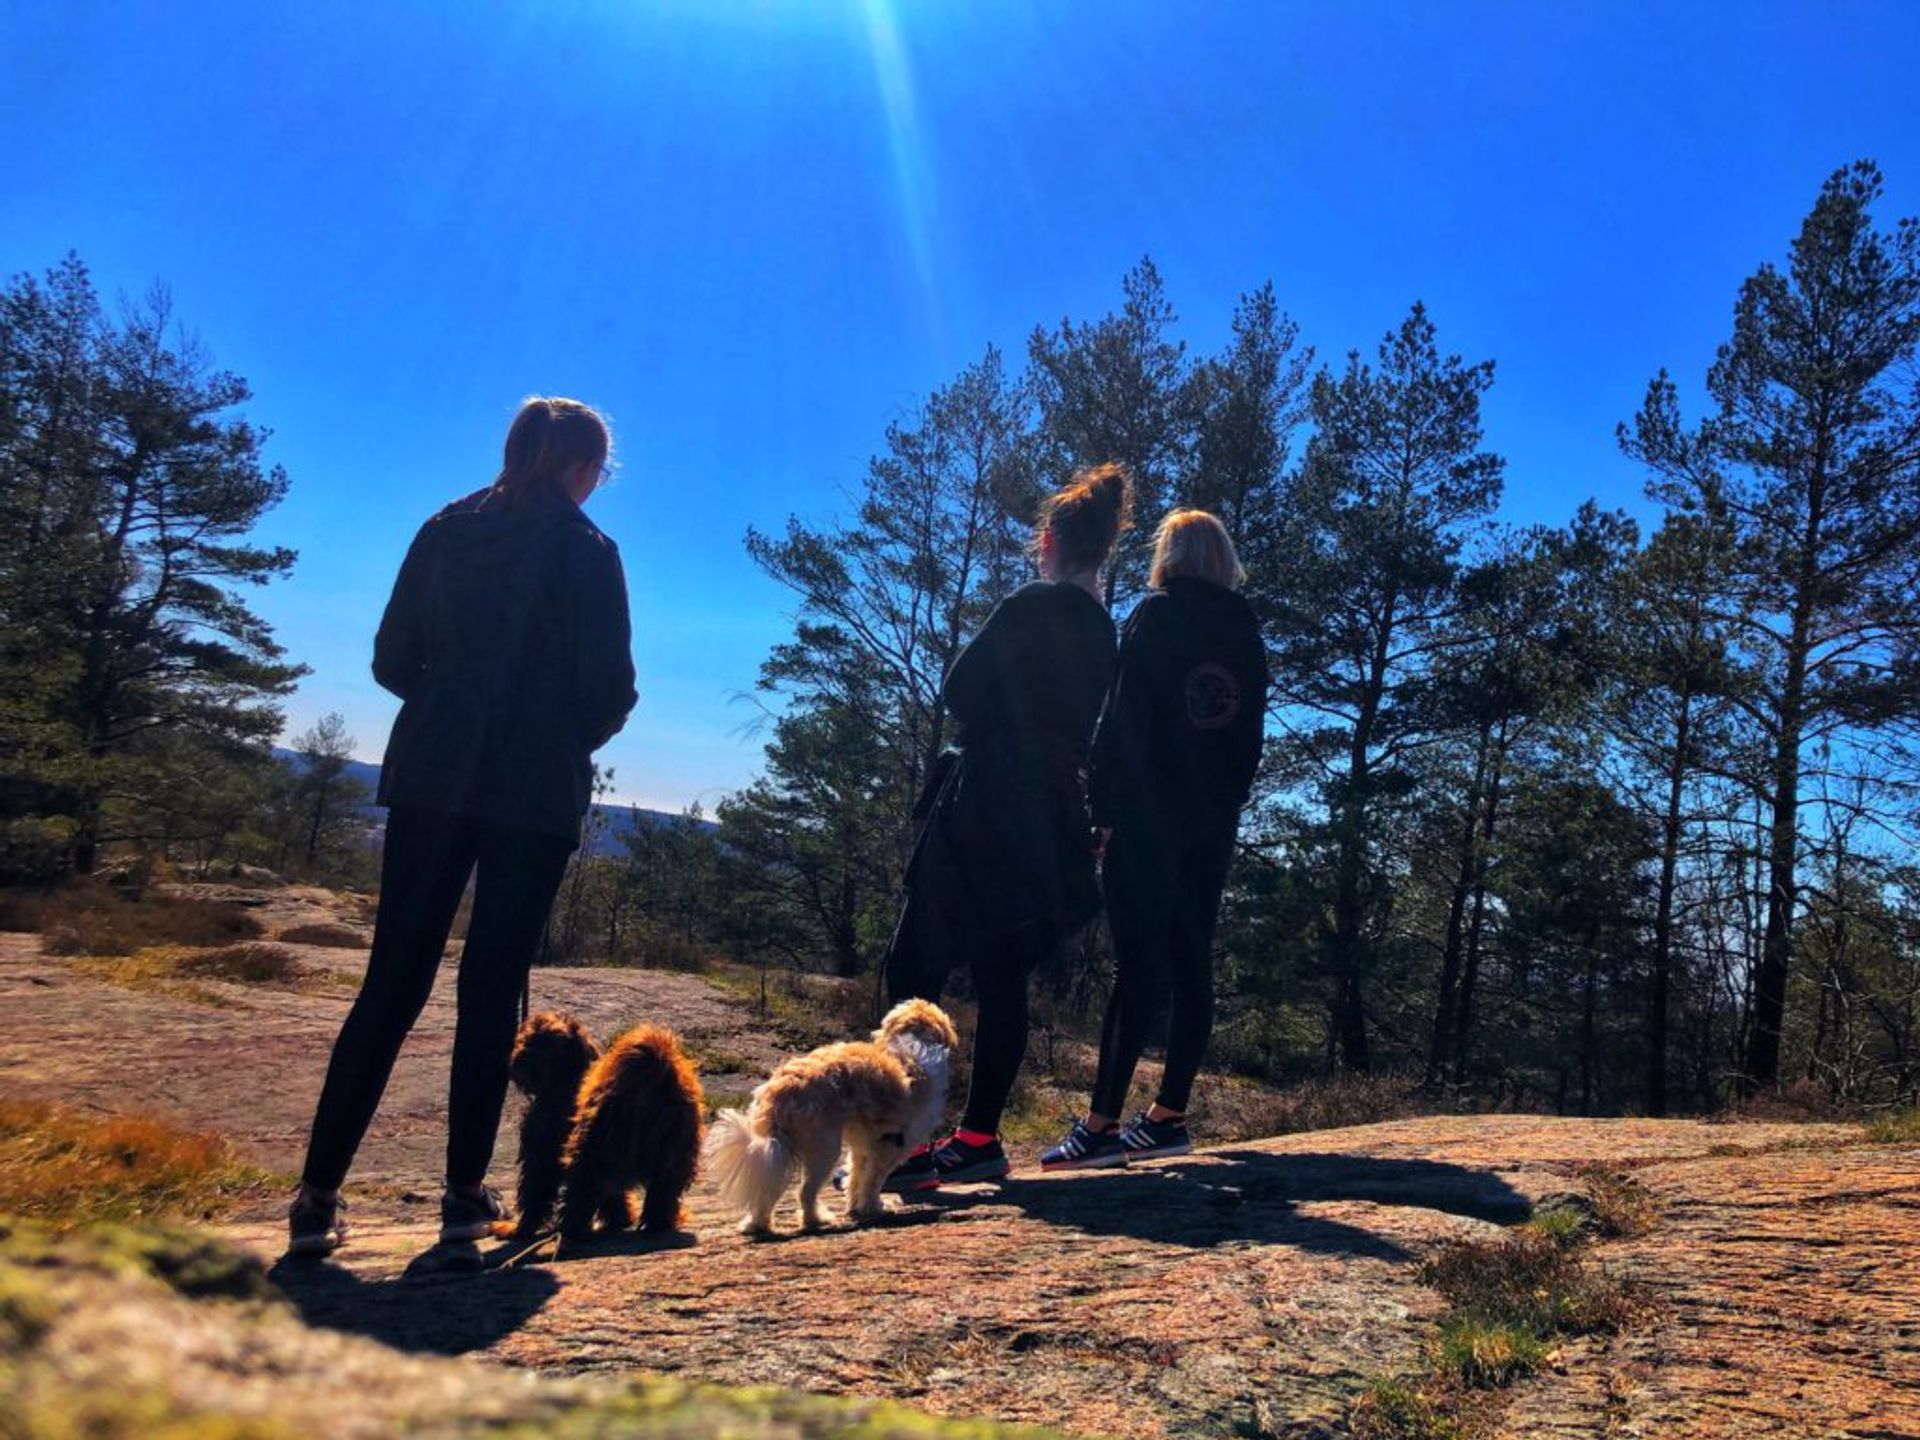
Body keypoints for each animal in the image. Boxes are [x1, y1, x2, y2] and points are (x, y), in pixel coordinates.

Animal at [706, 998, 960, 1236]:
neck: (913, 1042)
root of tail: (783, 1090)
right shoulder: (889, 1146)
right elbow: (873, 1181)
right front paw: (873, 1207)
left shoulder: (863, 1146)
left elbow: (856, 1178)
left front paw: (856, 1208)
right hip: (824, 1150)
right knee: (805, 1192)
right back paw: (816, 1220)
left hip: (777, 1152)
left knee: (767, 1190)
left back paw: (758, 1225)